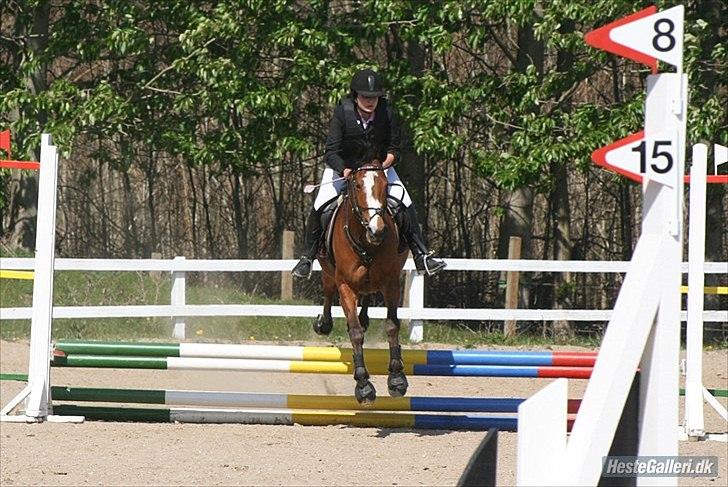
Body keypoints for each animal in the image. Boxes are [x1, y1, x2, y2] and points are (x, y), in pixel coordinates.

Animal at [312, 160, 410, 404]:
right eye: (356, 186)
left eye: (385, 185)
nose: (377, 230)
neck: (367, 242)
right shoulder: (345, 286)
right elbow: (355, 333)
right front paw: (363, 385)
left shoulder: (391, 283)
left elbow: (392, 325)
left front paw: (397, 379)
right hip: (328, 272)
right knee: (328, 292)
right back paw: (324, 324)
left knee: (366, 296)